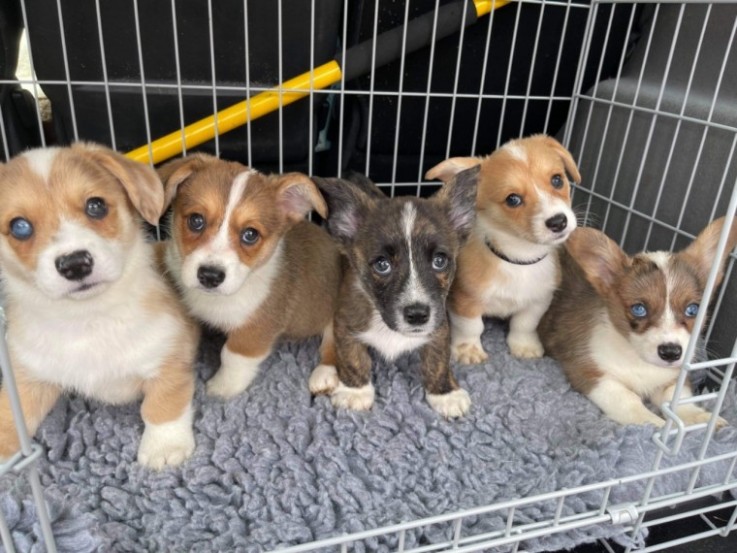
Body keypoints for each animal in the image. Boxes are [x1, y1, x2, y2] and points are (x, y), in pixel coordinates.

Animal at [0, 141, 198, 466]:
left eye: (96, 206)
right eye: (19, 227)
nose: (75, 264)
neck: (89, 317)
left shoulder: (168, 358)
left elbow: (162, 405)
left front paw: (164, 447)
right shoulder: (29, 377)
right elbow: (8, 417)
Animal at [158, 153, 342, 398]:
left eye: (250, 234)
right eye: (196, 220)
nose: (210, 276)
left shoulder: (254, 332)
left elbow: (231, 357)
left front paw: (221, 388)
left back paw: (324, 375)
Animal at [308, 170, 480, 416]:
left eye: (440, 261)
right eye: (382, 265)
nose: (417, 315)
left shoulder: (439, 326)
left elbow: (437, 360)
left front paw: (445, 393)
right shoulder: (345, 323)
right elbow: (352, 357)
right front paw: (355, 391)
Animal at [536, 220, 736, 426]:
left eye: (693, 309)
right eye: (639, 309)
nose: (671, 353)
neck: (639, 360)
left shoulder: (671, 378)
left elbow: (678, 399)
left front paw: (699, 418)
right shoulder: (589, 374)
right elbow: (628, 401)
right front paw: (654, 424)